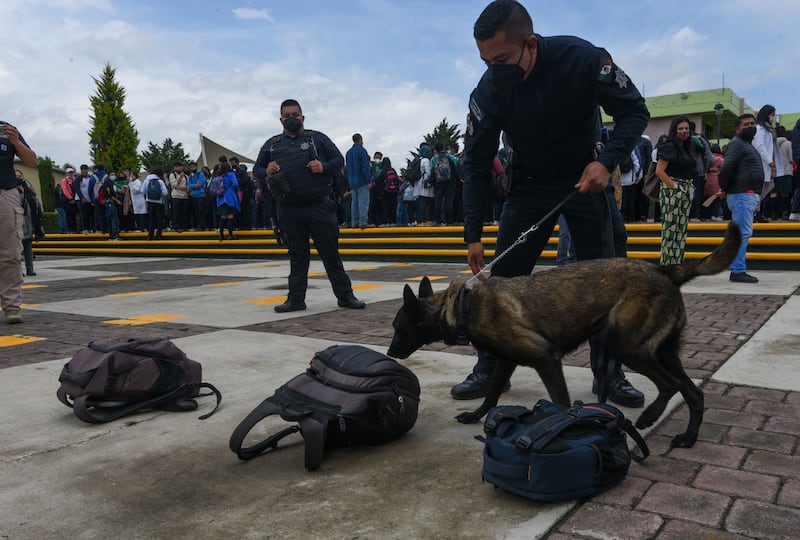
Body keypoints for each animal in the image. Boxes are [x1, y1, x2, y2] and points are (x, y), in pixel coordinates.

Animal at [388, 221, 744, 450]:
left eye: (396, 328)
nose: (390, 353)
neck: (463, 306)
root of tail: (663, 269)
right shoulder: (505, 362)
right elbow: (491, 395)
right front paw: (476, 415)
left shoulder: (547, 358)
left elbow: (560, 403)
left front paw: (563, 427)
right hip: (662, 352)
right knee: (693, 393)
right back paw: (689, 438)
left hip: (629, 347)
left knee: (669, 385)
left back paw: (649, 416)